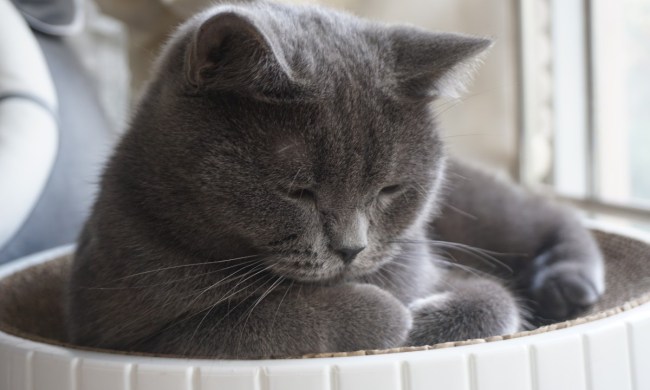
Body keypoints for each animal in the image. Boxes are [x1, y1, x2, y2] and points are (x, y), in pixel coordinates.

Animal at [66, 1, 604, 358]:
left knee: (549, 214)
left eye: (389, 189)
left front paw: (422, 318)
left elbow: (493, 299)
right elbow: (269, 318)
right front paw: (397, 314)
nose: (351, 248)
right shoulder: (133, 337)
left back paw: (571, 283)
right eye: (297, 191)